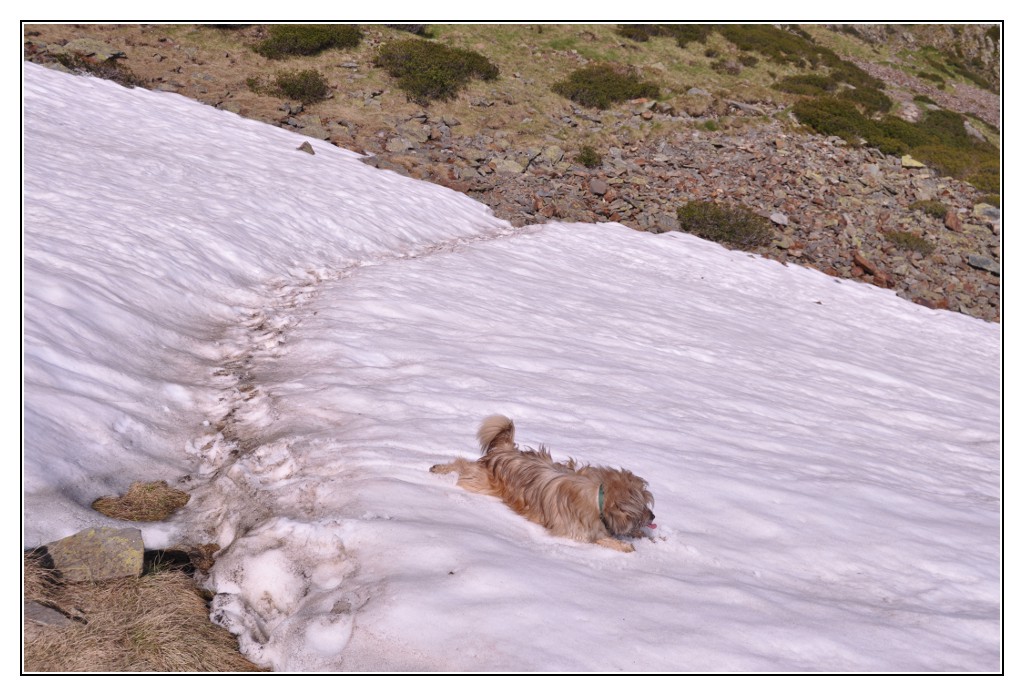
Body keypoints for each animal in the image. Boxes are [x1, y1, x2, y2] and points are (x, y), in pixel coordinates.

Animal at [430, 415, 655, 552]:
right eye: (643, 506)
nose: (652, 516)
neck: (599, 497)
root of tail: (505, 450)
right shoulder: (574, 532)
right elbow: (599, 539)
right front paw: (625, 545)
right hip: (481, 482)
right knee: (462, 465)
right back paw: (440, 469)